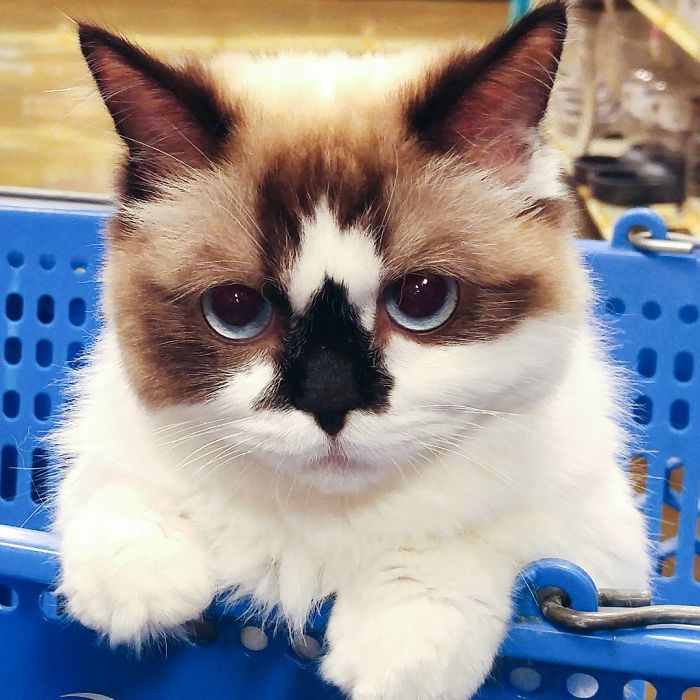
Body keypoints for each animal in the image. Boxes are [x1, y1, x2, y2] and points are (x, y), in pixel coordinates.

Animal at [53, 2, 652, 696]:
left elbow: (479, 542)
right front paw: (137, 583)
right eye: (235, 310)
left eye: (423, 299)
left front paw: (400, 647)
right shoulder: (110, 453)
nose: (331, 403)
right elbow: (116, 491)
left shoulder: (598, 556)